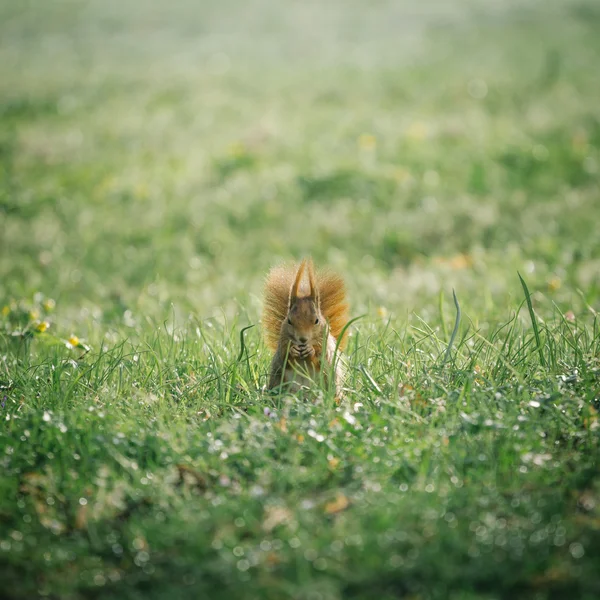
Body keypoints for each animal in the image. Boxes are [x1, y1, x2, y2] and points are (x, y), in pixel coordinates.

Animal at [264, 258, 352, 394]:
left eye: (316, 321)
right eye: (289, 321)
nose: (302, 339)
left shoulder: (324, 346)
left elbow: (321, 360)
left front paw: (311, 351)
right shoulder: (283, 344)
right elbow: (284, 358)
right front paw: (292, 350)